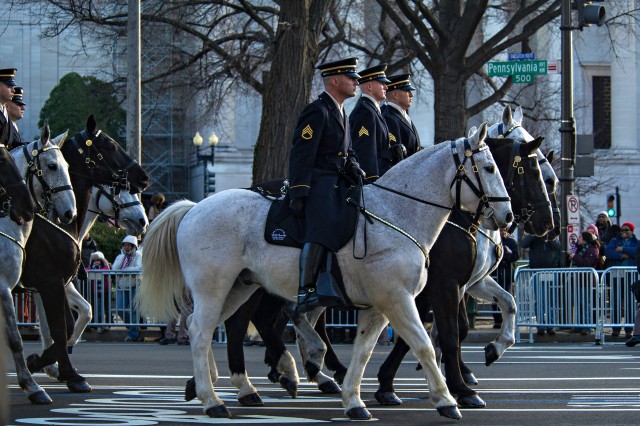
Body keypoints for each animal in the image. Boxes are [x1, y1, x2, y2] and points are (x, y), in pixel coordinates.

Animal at [0, 125, 77, 404]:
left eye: (68, 165)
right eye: (52, 166)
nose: (69, 213)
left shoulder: (49, 285)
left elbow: (59, 327)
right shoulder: (15, 287)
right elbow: (17, 338)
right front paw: (32, 384)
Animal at [22, 116, 150, 392]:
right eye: (110, 146)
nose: (143, 221)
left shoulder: (51, 283)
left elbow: (79, 314)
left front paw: (52, 362)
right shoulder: (51, 281)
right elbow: (64, 321)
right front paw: (53, 363)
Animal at [138, 124, 512, 422]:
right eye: (489, 167)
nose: (507, 218)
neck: (397, 213)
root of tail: (194, 207)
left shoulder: (380, 307)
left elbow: (364, 352)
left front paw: (355, 401)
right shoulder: (404, 298)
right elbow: (426, 343)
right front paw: (448, 398)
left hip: (240, 287)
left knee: (211, 325)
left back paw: (230, 384)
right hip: (214, 287)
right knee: (203, 331)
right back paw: (215, 399)